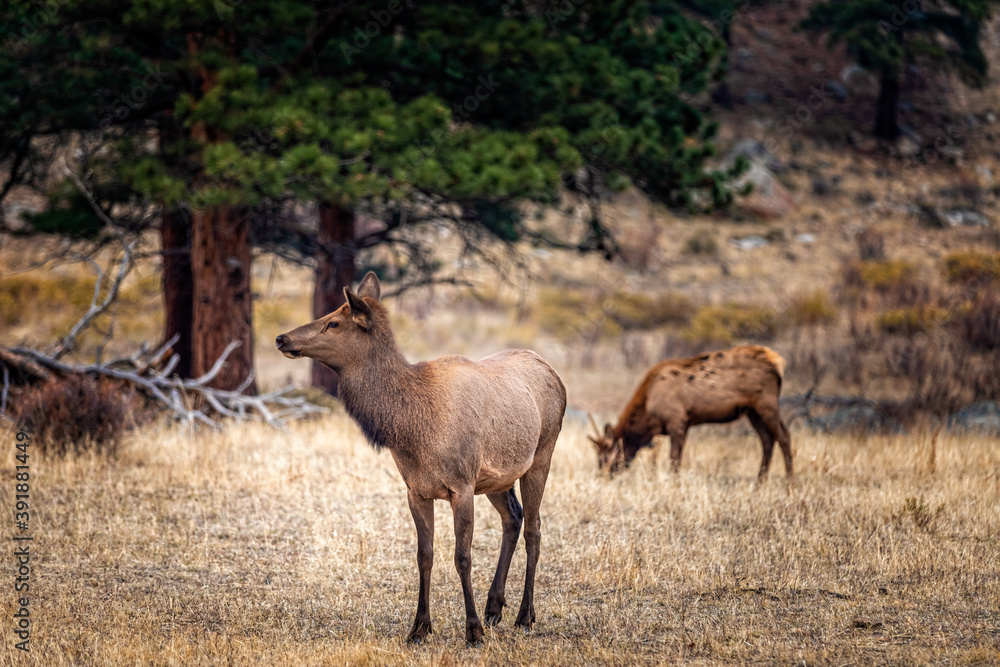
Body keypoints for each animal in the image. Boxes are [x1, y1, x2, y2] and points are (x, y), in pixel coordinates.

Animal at [275, 272, 566, 647]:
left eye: (334, 322)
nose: (282, 338)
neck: (413, 427)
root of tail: (555, 373)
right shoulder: (416, 489)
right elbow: (423, 556)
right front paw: (419, 628)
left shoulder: (461, 485)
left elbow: (462, 557)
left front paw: (472, 631)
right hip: (495, 478)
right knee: (513, 519)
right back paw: (494, 607)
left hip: (542, 453)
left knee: (534, 528)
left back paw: (524, 616)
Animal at [589, 344, 792, 478]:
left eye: (605, 453)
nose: (602, 474)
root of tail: (778, 362)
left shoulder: (677, 421)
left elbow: (675, 459)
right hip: (752, 411)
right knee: (767, 439)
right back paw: (760, 481)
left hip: (766, 403)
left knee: (783, 435)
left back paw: (789, 481)